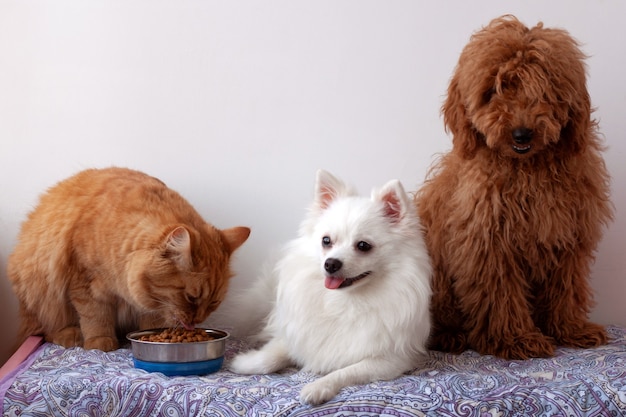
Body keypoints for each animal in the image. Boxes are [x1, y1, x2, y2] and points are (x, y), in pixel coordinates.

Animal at [7, 167, 249, 352]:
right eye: (191, 297)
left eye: (214, 303)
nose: (196, 322)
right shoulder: (84, 283)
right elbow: (95, 316)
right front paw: (99, 342)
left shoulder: (150, 306)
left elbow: (151, 321)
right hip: (40, 288)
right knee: (44, 330)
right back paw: (71, 335)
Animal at [229, 169, 428, 404]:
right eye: (326, 241)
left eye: (363, 246)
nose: (330, 263)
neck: (345, 300)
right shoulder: (295, 333)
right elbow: (272, 355)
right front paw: (244, 363)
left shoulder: (391, 360)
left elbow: (345, 371)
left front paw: (317, 387)